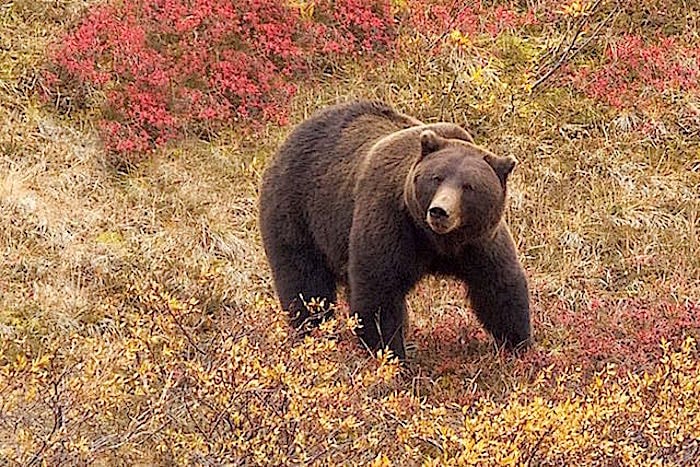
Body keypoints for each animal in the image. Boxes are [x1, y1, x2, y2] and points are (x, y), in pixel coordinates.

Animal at [258, 100, 531, 360]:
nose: (439, 211)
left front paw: (518, 343)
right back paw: (311, 330)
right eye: (437, 178)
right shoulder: (391, 221)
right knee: (305, 281)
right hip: (296, 211)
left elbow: (499, 285)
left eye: (469, 186)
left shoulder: (479, 240)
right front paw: (390, 352)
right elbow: (379, 289)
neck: (436, 240)